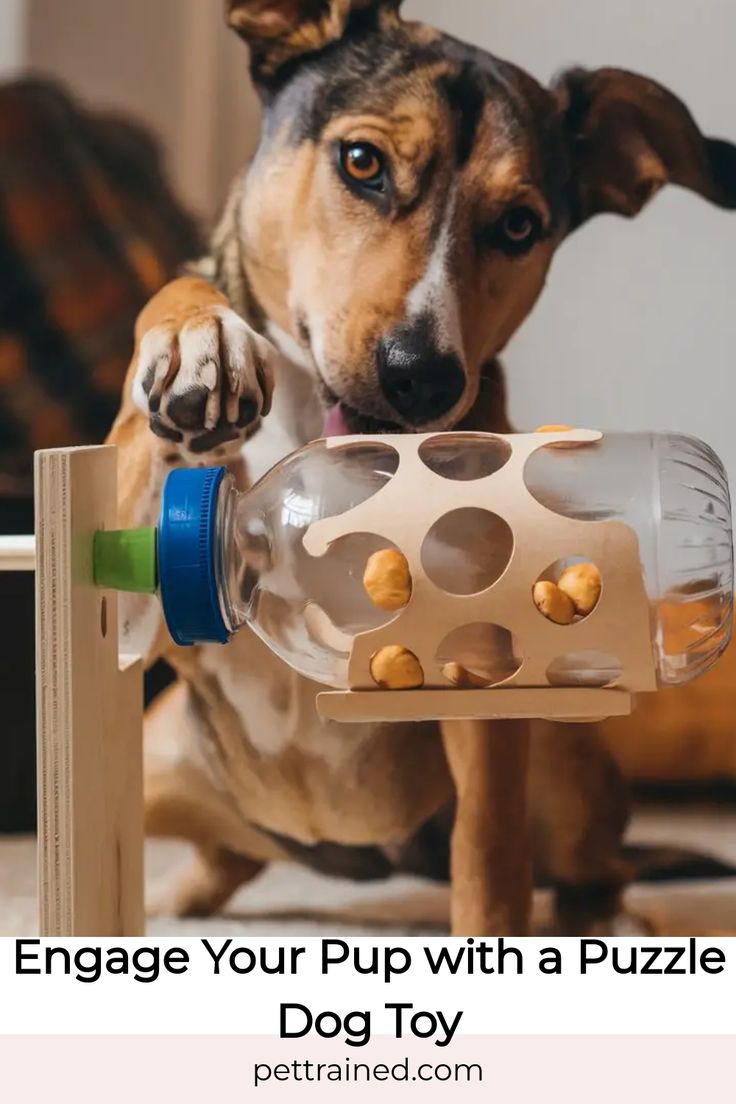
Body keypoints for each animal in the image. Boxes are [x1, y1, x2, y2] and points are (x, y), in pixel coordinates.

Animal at [106, 0, 732, 936]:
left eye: (520, 225)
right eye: (362, 163)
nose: (422, 377)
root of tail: (348, 851)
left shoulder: (483, 665)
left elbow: (490, 855)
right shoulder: (144, 582)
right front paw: (195, 337)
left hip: (562, 759)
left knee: (593, 863)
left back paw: (607, 919)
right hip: (159, 764)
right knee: (219, 853)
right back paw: (178, 898)